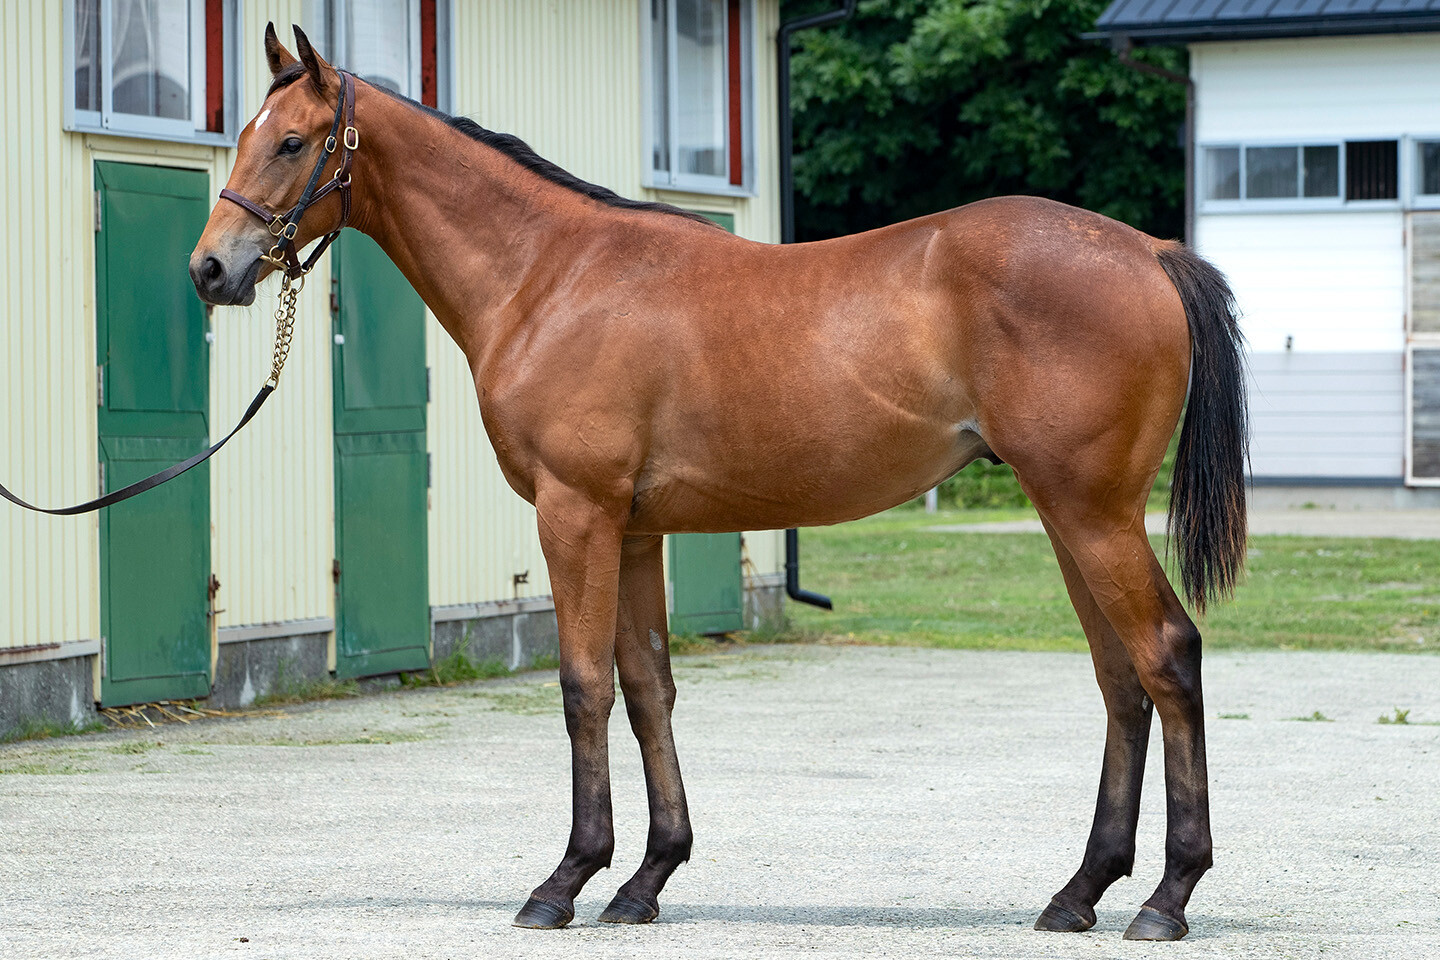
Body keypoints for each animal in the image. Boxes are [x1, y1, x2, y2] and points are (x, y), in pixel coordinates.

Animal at [191, 26, 1249, 944]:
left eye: (291, 141)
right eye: (240, 134)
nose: (211, 269)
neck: (549, 276)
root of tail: (1148, 250)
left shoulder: (575, 515)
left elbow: (583, 687)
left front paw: (564, 880)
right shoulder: (632, 529)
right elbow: (648, 686)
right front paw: (646, 877)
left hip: (1091, 512)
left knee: (1166, 655)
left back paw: (1167, 896)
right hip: (1068, 517)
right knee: (1119, 680)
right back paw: (1079, 892)